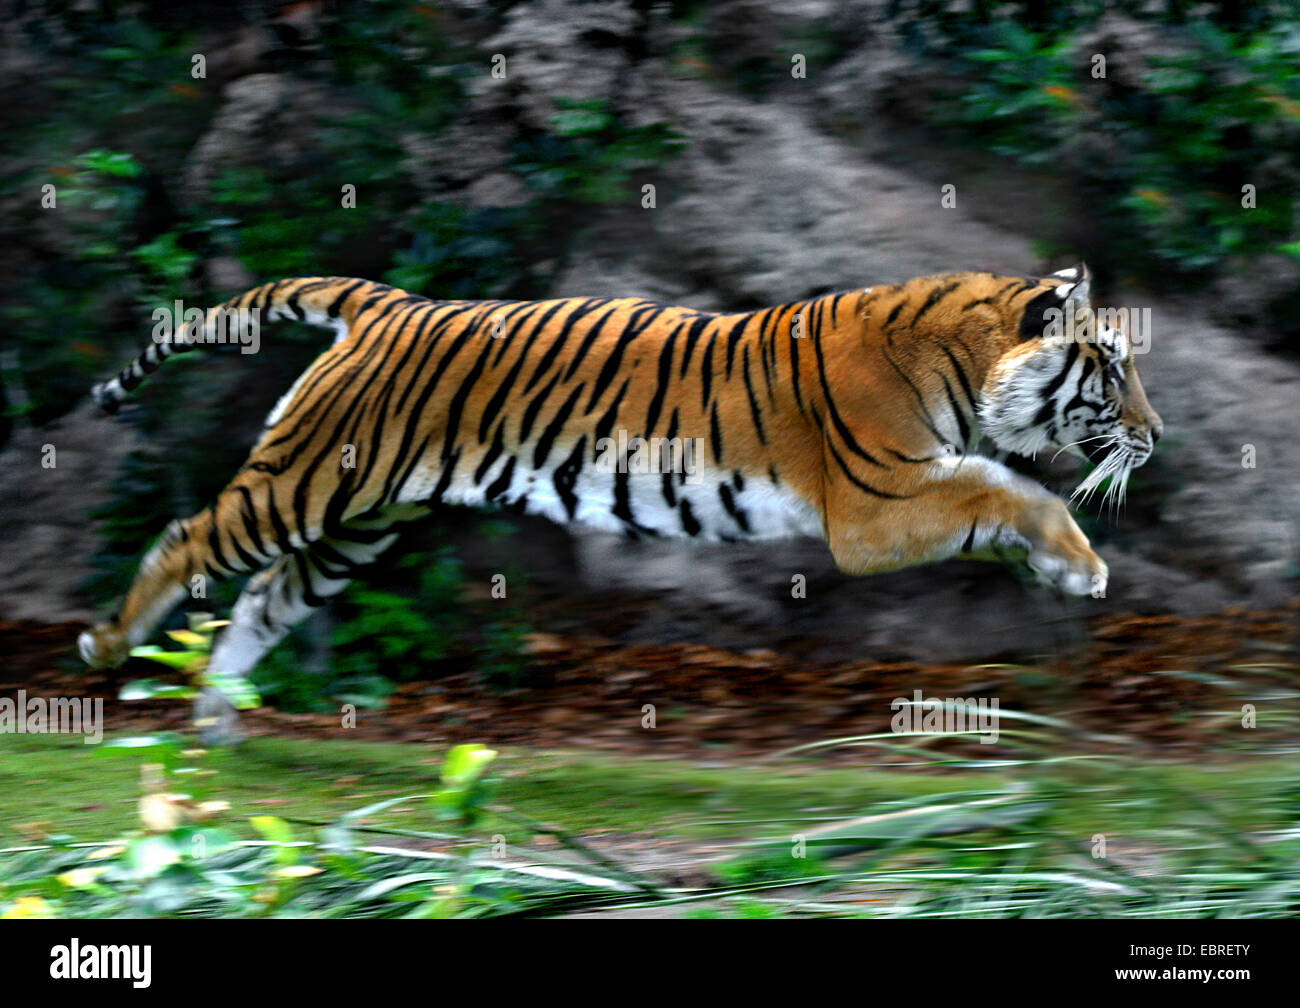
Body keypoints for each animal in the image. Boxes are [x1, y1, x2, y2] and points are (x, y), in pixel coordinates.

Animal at [76, 266, 1164, 738]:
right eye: (1110, 369)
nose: (1156, 435)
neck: (968, 360)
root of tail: (387, 302)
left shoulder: (909, 489)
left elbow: (1000, 490)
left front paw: (1060, 568)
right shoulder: (874, 505)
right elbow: (1008, 486)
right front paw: (1082, 562)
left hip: (360, 524)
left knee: (266, 599)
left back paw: (216, 719)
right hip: (305, 484)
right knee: (186, 538)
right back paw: (108, 645)